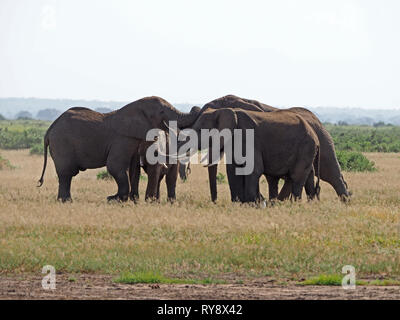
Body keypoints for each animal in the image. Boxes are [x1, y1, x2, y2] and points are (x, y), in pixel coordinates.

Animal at [36, 96, 199, 204]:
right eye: (161, 112)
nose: (196, 107)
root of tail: (49, 130)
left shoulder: (134, 140)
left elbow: (133, 169)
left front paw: (128, 200)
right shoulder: (122, 139)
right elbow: (115, 166)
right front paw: (115, 199)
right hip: (61, 143)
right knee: (66, 173)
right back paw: (66, 201)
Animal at [183, 94, 348, 202]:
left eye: (200, 131)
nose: (214, 202)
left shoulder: (250, 139)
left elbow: (253, 169)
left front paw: (251, 203)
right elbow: (234, 170)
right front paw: (244, 203)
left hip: (316, 144)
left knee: (325, 175)